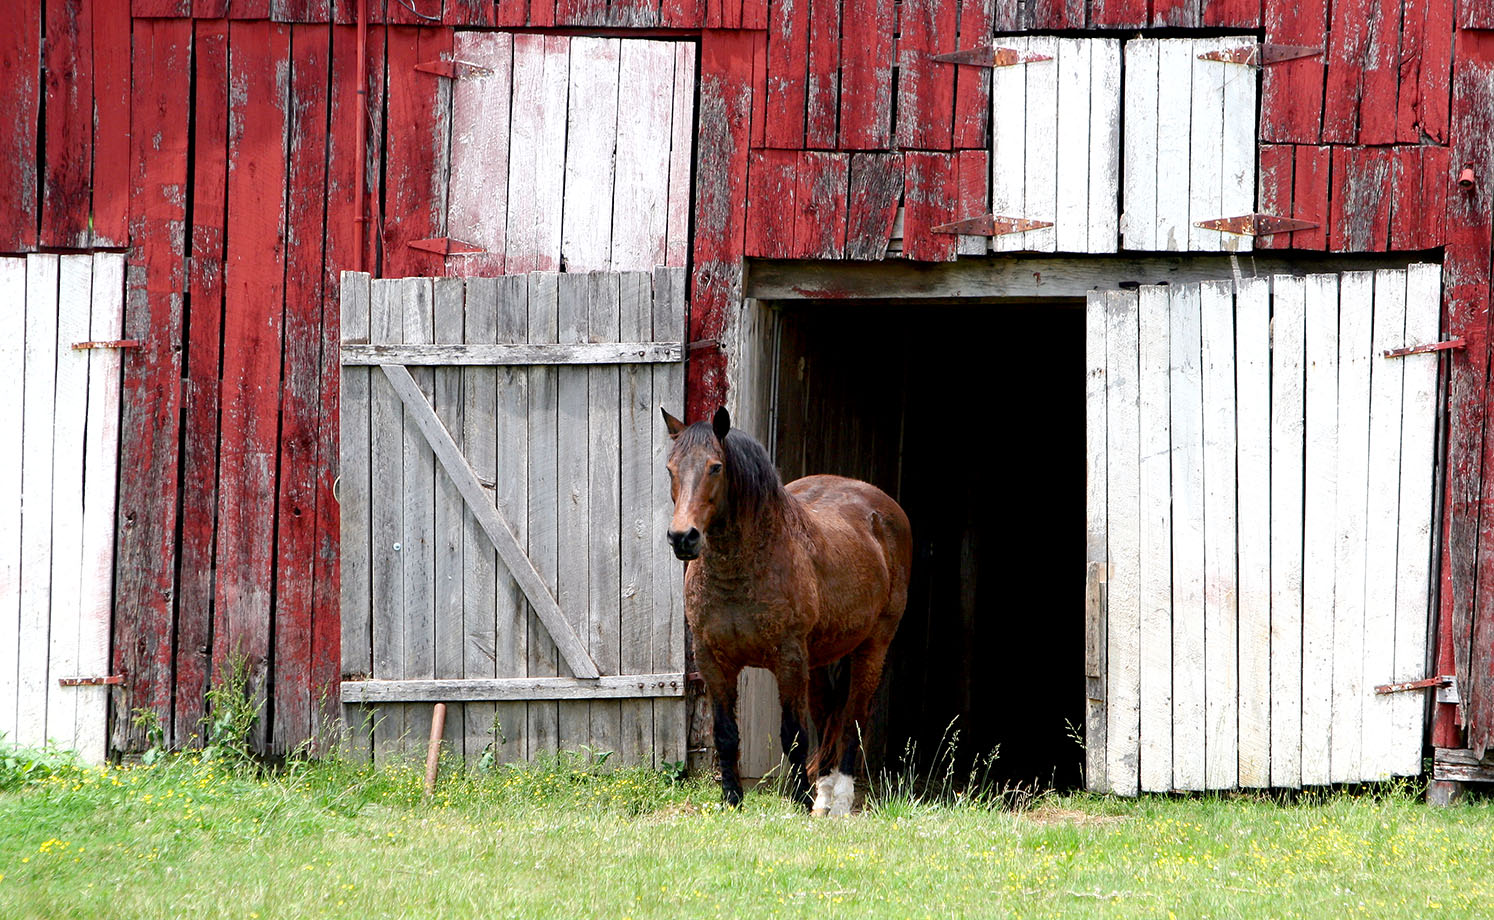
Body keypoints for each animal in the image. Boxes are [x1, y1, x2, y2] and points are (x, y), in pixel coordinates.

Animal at [663, 403, 908, 812]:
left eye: (716, 467)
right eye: (670, 468)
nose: (683, 537)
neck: (741, 571)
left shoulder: (789, 659)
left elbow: (793, 734)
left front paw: (799, 800)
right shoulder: (712, 659)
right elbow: (725, 734)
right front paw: (733, 800)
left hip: (873, 646)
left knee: (854, 717)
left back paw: (840, 800)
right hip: (821, 660)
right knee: (828, 716)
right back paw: (823, 798)